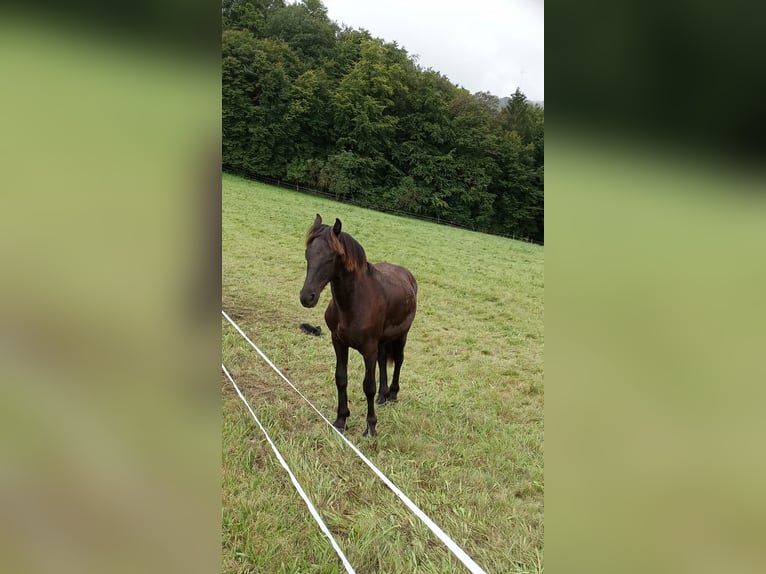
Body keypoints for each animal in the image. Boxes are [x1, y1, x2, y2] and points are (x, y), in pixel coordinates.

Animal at [302, 215, 420, 436]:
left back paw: (393, 394)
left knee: (399, 360)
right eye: (308, 255)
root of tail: (408, 276)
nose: (307, 297)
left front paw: (371, 427)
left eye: (331, 258)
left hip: (401, 336)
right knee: (383, 361)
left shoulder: (368, 349)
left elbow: (368, 386)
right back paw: (383, 396)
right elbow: (341, 378)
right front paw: (341, 420)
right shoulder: (338, 342)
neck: (353, 303)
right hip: (382, 342)